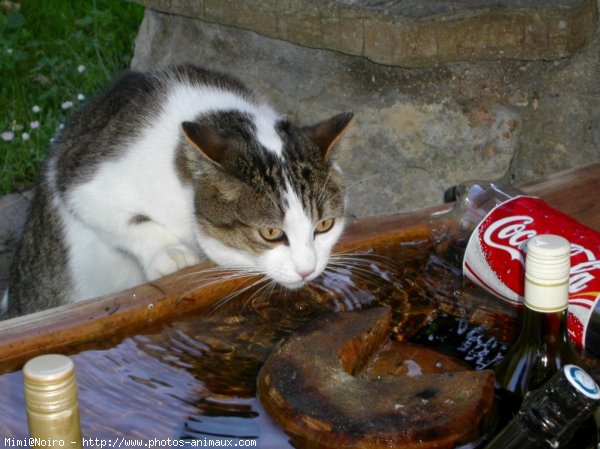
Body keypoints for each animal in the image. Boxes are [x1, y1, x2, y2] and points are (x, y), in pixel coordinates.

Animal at [1, 64, 352, 318]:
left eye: (324, 226)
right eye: (270, 233)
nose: (307, 270)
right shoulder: (82, 182)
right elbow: (126, 220)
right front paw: (171, 254)